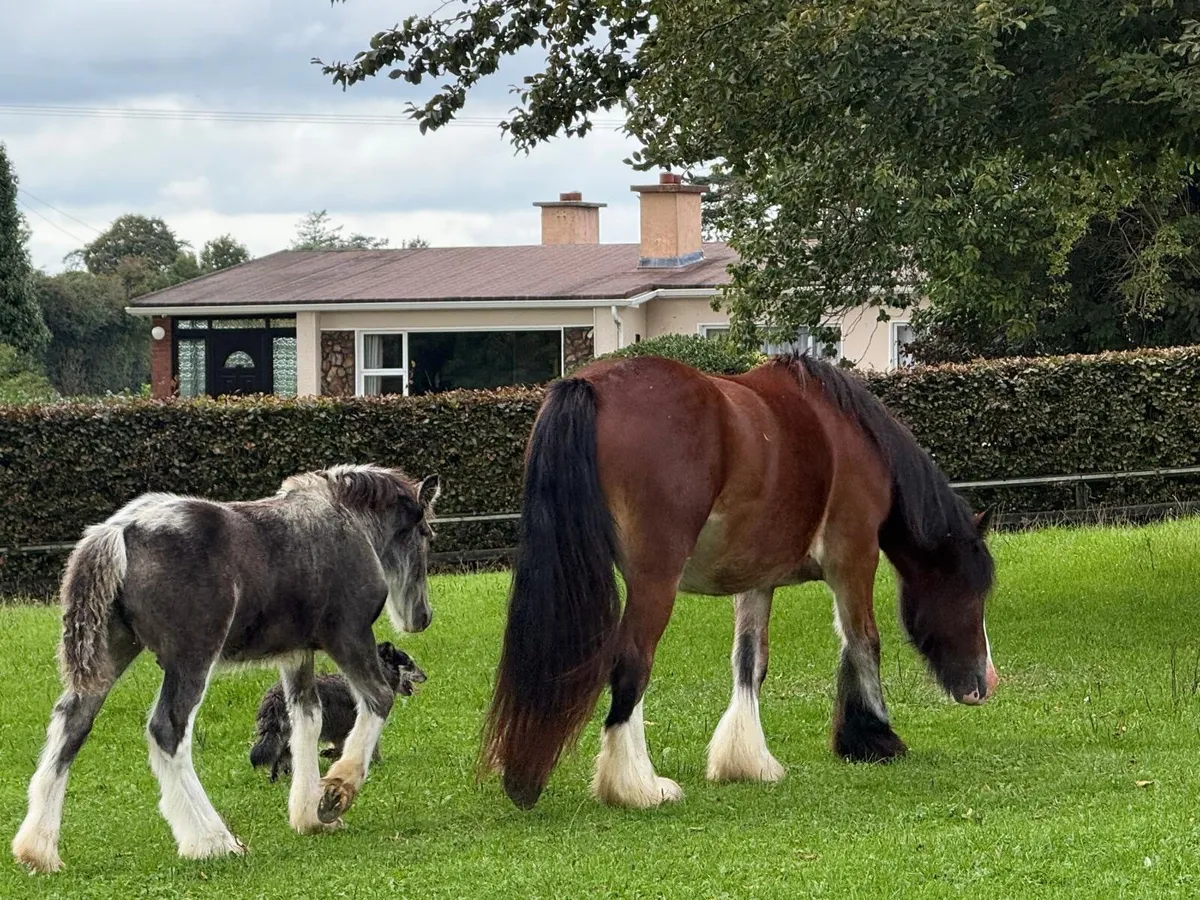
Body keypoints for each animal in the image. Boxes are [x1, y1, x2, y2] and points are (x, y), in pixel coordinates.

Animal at [12, 464, 440, 874]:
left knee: (72, 724)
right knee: (167, 729)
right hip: (192, 658)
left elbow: (306, 718)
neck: (346, 520)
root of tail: (117, 531)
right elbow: (378, 699)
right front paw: (335, 795)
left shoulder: (296, 654)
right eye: (426, 532)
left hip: (111, 653)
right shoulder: (349, 635)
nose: (421, 617)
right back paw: (213, 841)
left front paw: (309, 816)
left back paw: (38, 850)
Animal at [481, 353, 997, 810]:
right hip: (655, 580)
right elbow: (863, 641)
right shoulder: (853, 558)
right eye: (972, 592)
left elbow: (750, 661)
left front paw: (747, 760)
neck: (848, 435)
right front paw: (875, 736)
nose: (985, 683)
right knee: (632, 661)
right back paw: (638, 787)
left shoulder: (756, 580)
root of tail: (589, 386)